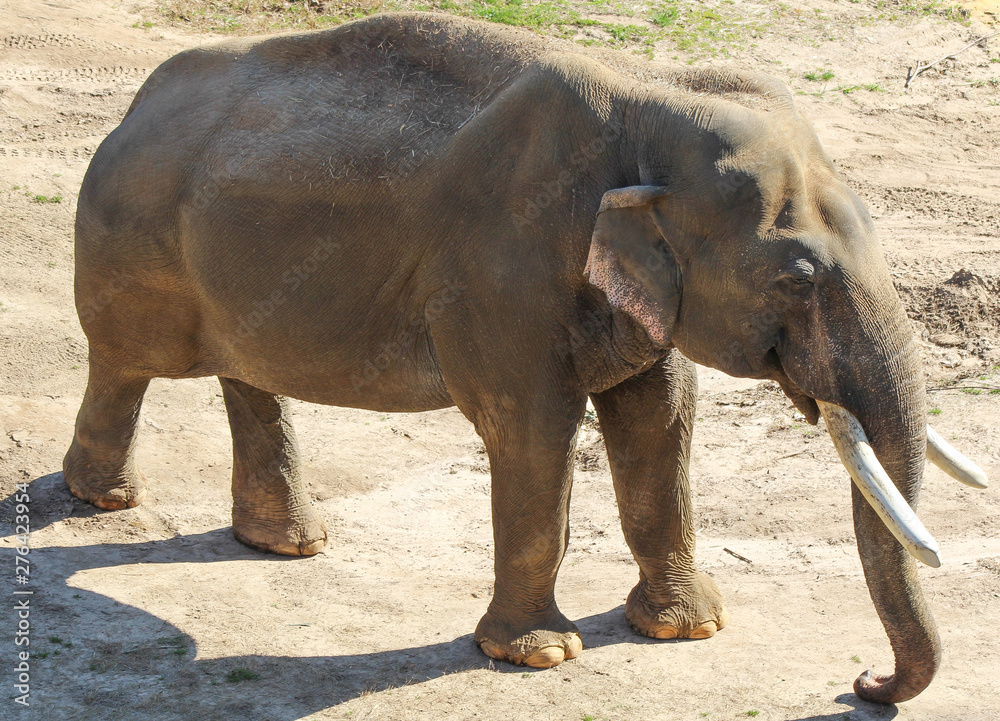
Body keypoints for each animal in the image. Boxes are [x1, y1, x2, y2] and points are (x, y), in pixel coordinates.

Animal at [63, 12, 987, 703]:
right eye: (798, 277)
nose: (862, 681)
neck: (651, 98)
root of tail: (132, 107)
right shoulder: (501, 266)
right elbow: (534, 426)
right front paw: (538, 654)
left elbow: (662, 419)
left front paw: (687, 628)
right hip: (128, 248)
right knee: (123, 364)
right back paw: (103, 498)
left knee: (249, 378)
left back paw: (289, 544)